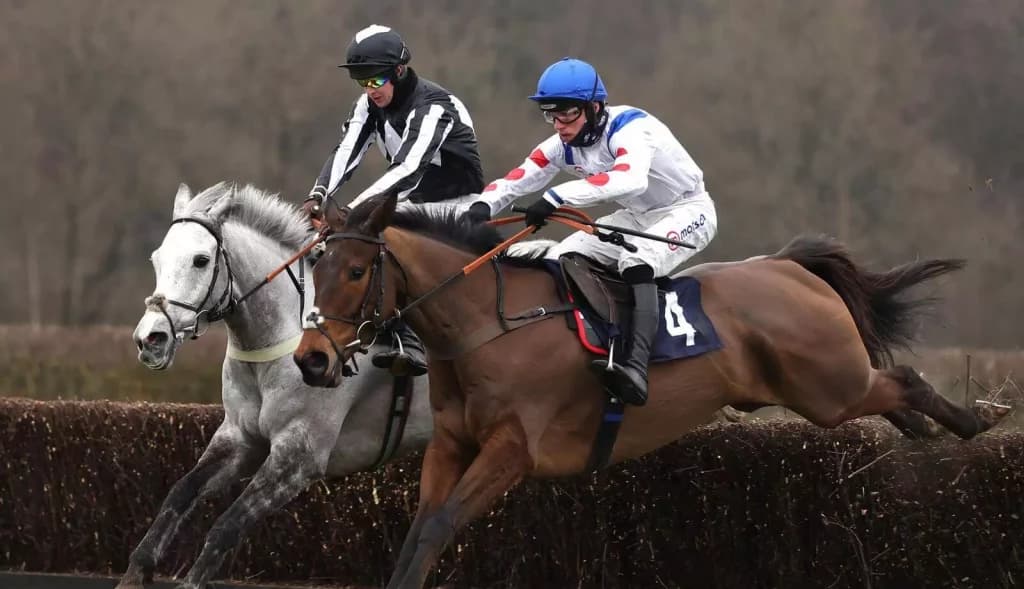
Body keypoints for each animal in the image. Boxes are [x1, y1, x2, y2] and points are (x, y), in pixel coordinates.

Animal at [122, 182, 433, 589]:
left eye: (201, 260)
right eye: (157, 259)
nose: (151, 339)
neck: (284, 338)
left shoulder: (299, 455)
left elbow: (227, 526)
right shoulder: (239, 437)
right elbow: (178, 495)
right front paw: (136, 571)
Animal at [293, 192, 1010, 589]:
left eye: (355, 270)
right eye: (313, 265)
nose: (311, 359)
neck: (487, 324)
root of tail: (787, 266)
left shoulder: (513, 449)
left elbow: (440, 526)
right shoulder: (451, 444)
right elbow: (418, 532)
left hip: (829, 385)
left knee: (903, 380)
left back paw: (975, 422)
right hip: (825, 392)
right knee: (892, 393)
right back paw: (925, 433)